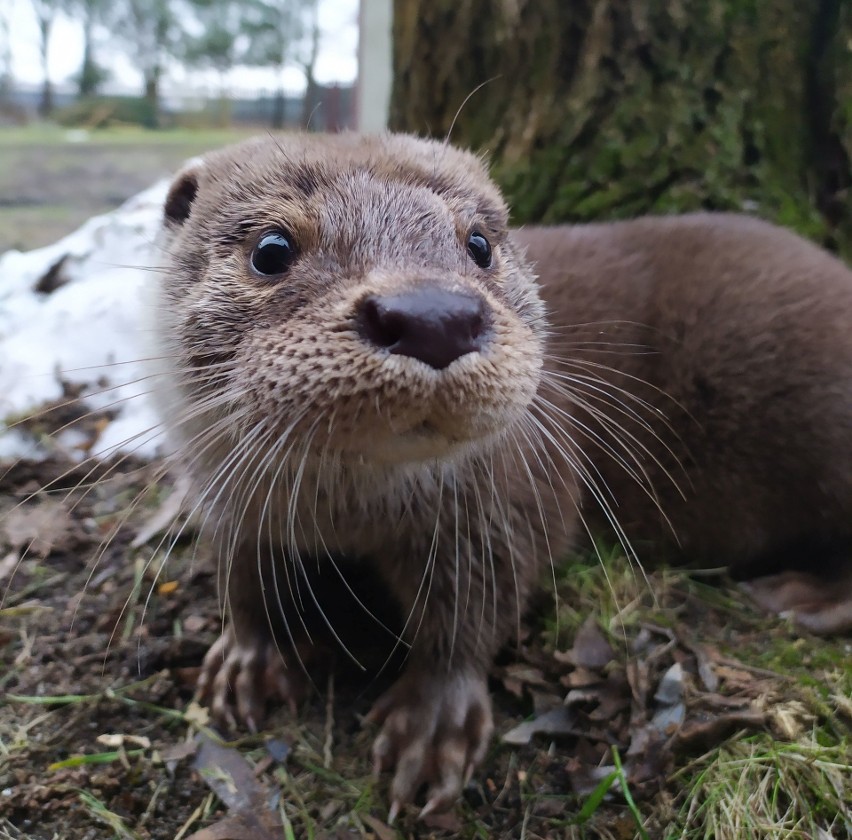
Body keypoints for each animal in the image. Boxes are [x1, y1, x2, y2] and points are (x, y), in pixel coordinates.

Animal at [155, 135, 852, 816]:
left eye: (479, 243)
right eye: (271, 249)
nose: (433, 314)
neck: (347, 516)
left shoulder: (508, 500)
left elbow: (475, 609)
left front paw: (432, 723)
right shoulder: (229, 497)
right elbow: (244, 578)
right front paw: (246, 657)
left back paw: (801, 597)